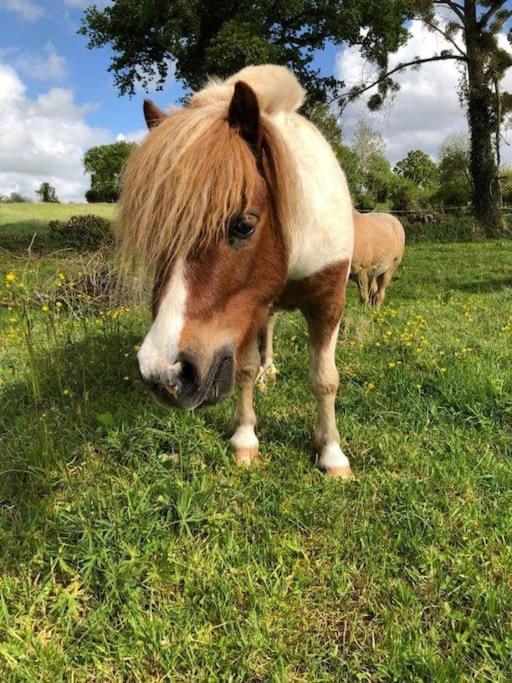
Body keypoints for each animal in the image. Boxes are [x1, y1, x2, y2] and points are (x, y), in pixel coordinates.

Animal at [117, 67, 354, 478]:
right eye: (158, 232)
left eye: (243, 225)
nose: (163, 373)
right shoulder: (246, 309)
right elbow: (243, 370)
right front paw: (245, 440)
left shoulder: (328, 303)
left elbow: (324, 379)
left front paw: (332, 454)